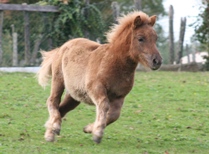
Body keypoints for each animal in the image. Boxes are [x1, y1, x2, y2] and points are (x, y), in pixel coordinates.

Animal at [37, 10, 162, 143]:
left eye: (155, 38)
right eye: (140, 38)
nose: (157, 61)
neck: (114, 63)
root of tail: (62, 47)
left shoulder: (119, 96)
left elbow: (114, 115)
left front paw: (89, 129)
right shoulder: (96, 89)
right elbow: (104, 105)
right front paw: (97, 133)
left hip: (74, 96)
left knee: (62, 109)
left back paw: (50, 131)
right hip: (58, 80)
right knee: (53, 101)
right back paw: (53, 129)